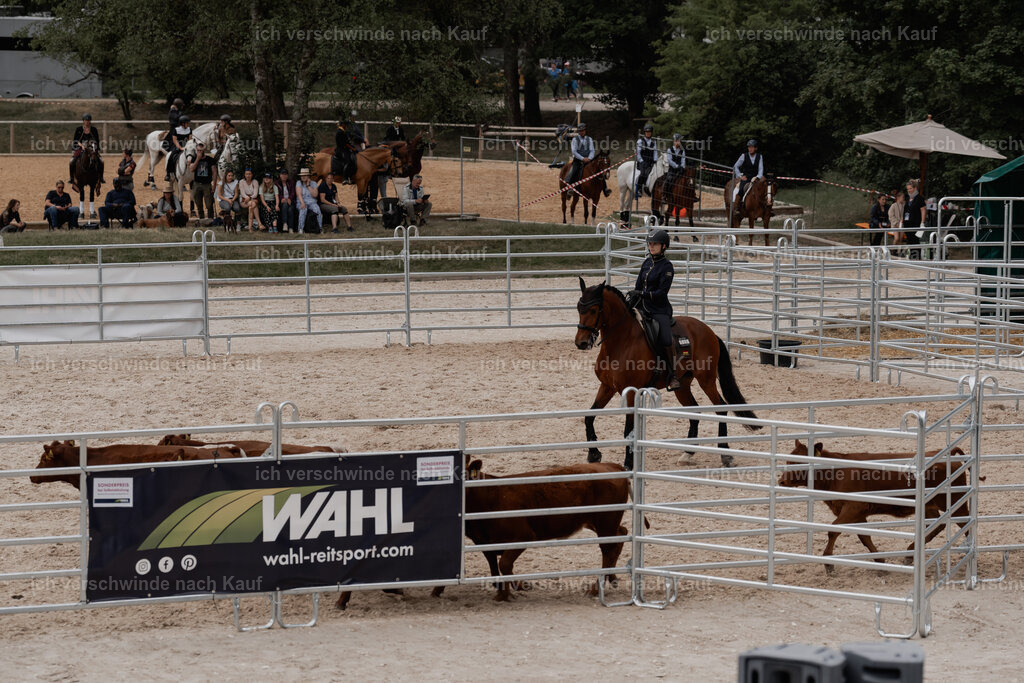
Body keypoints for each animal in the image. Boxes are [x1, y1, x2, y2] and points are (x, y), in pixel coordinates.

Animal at [574, 278, 759, 469]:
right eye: (579, 308)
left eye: (593, 310)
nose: (581, 343)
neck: (622, 341)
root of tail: (709, 331)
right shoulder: (607, 387)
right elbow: (589, 417)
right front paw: (594, 454)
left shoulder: (631, 391)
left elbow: (628, 428)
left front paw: (628, 463)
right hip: (682, 386)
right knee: (695, 411)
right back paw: (688, 453)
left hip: (706, 380)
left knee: (721, 408)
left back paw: (725, 454)